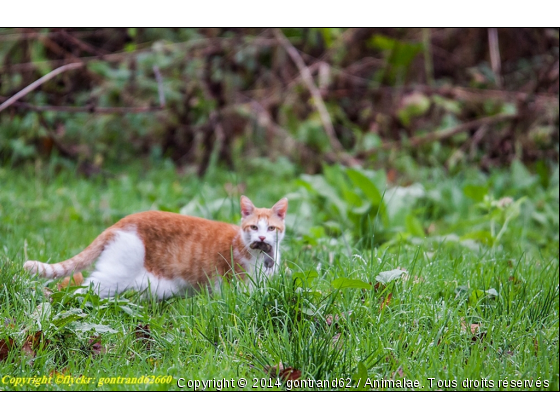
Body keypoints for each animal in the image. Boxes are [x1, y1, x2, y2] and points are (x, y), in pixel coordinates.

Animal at [23, 195, 286, 300]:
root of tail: (122, 221)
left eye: (271, 228)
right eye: (254, 227)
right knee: (80, 291)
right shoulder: (238, 284)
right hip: (113, 276)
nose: (263, 238)